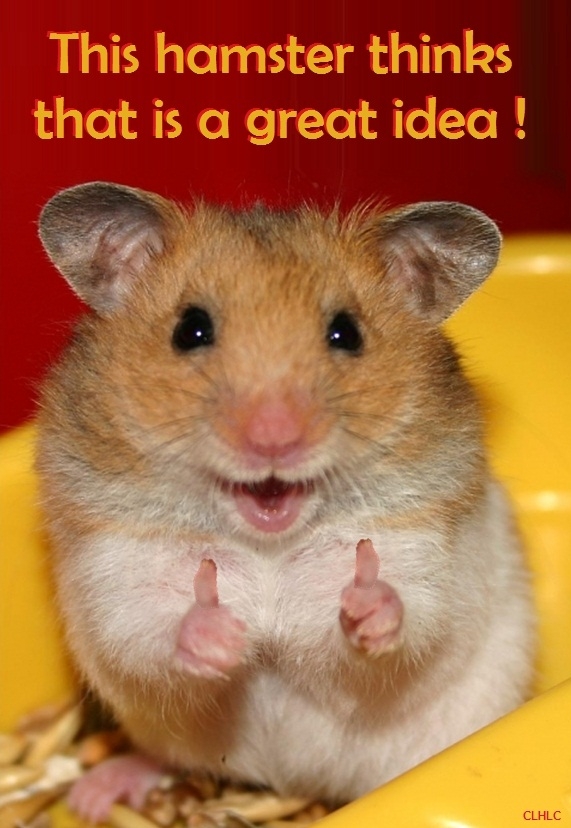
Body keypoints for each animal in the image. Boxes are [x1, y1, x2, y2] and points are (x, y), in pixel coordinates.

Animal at [36, 182, 535, 822]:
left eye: (346, 333)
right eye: (190, 329)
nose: (274, 439)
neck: (267, 544)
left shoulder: (427, 555)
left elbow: (409, 615)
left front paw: (364, 601)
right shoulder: (117, 568)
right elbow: (147, 628)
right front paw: (224, 634)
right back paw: (96, 793)